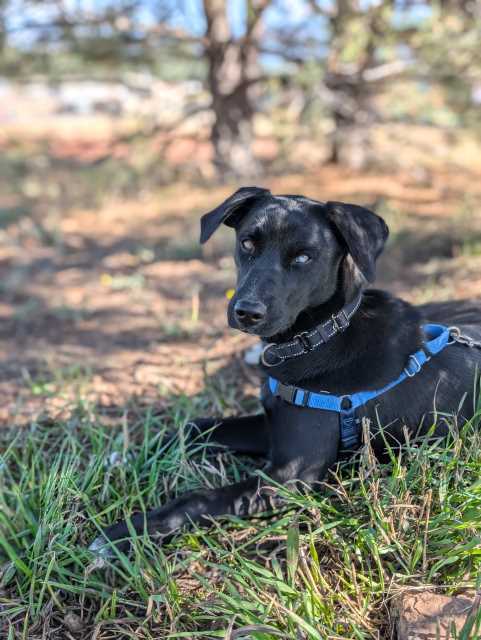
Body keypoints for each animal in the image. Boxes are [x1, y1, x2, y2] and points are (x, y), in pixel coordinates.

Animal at [90, 186, 480, 556]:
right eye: (247, 242)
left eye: (304, 257)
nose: (247, 312)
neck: (321, 336)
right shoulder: (271, 427)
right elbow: (196, 427)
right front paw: (121, 455)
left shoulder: (292, 476)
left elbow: (200, 497)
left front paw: (123, 534)